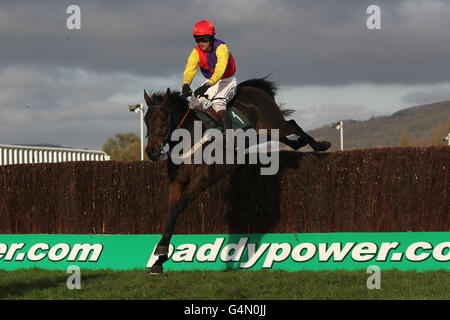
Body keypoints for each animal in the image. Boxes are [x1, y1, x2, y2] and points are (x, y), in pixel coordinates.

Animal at [144, 77, 330, 272]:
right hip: (264, 132)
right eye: (145, 119)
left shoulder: (201, 180)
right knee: (287, 136)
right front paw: (159, 260)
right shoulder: (176, 182)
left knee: (293, 124)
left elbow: (178, 207)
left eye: (164, 117)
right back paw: (300, 143)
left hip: (274, 124)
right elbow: (171, 212)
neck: (187, 139)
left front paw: (161, 254)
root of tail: (254, 89)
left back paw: (320, 145)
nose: (151, 151)